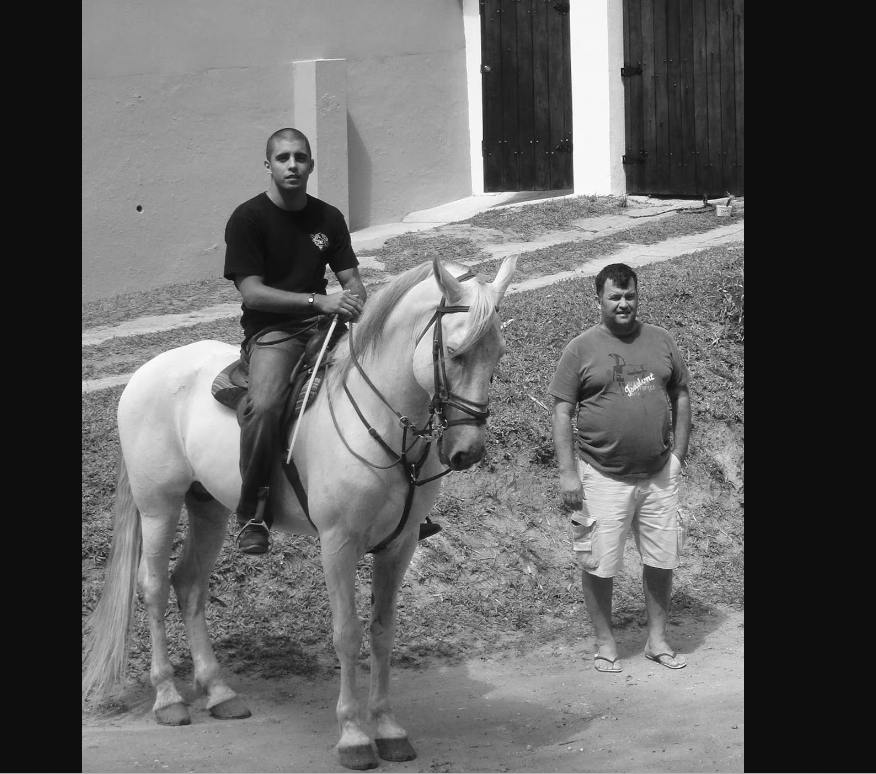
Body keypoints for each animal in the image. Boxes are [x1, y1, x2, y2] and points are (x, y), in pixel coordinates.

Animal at [82, 256, 516, 768]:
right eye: (454, 352)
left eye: (498, 354)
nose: (468, 451)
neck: (381, 421)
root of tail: (146, 372)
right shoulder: (338, 543)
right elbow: (347, 634)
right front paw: (353, 735)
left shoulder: (401, 544)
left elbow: (383, 631)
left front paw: (388, 728)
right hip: (159, 507)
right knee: (152, 587)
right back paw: (168, 698)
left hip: (207, 508)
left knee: (188, 584)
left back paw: (219, 692)